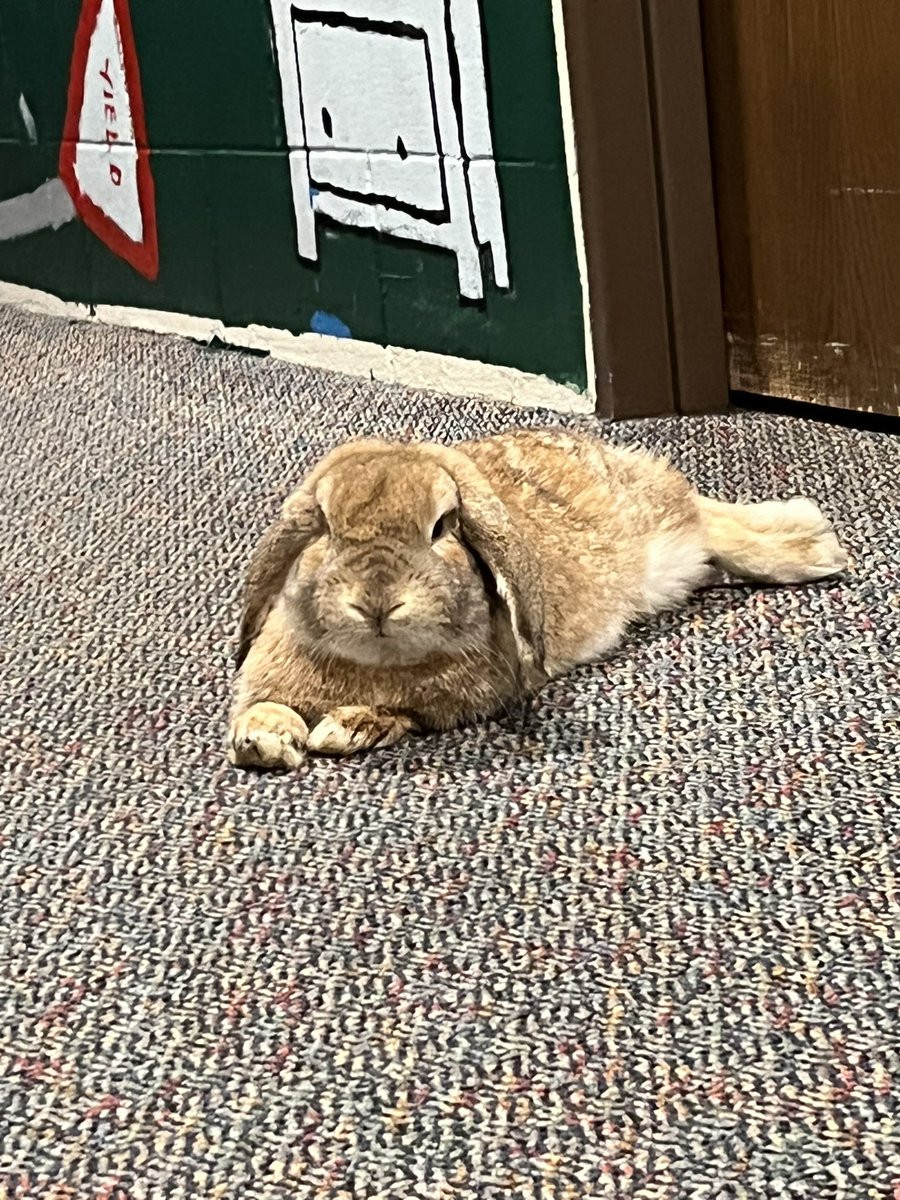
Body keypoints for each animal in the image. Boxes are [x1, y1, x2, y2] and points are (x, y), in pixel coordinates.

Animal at [227, 428, 847, 769]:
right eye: (325, 528)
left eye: (442, 526)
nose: (377, 602)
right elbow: (264, 707)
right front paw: (261, 740)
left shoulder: (470, 697)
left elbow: (405, 713)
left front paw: (348, 728)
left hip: (663, 540)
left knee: (709, 523)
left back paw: (815, 544)